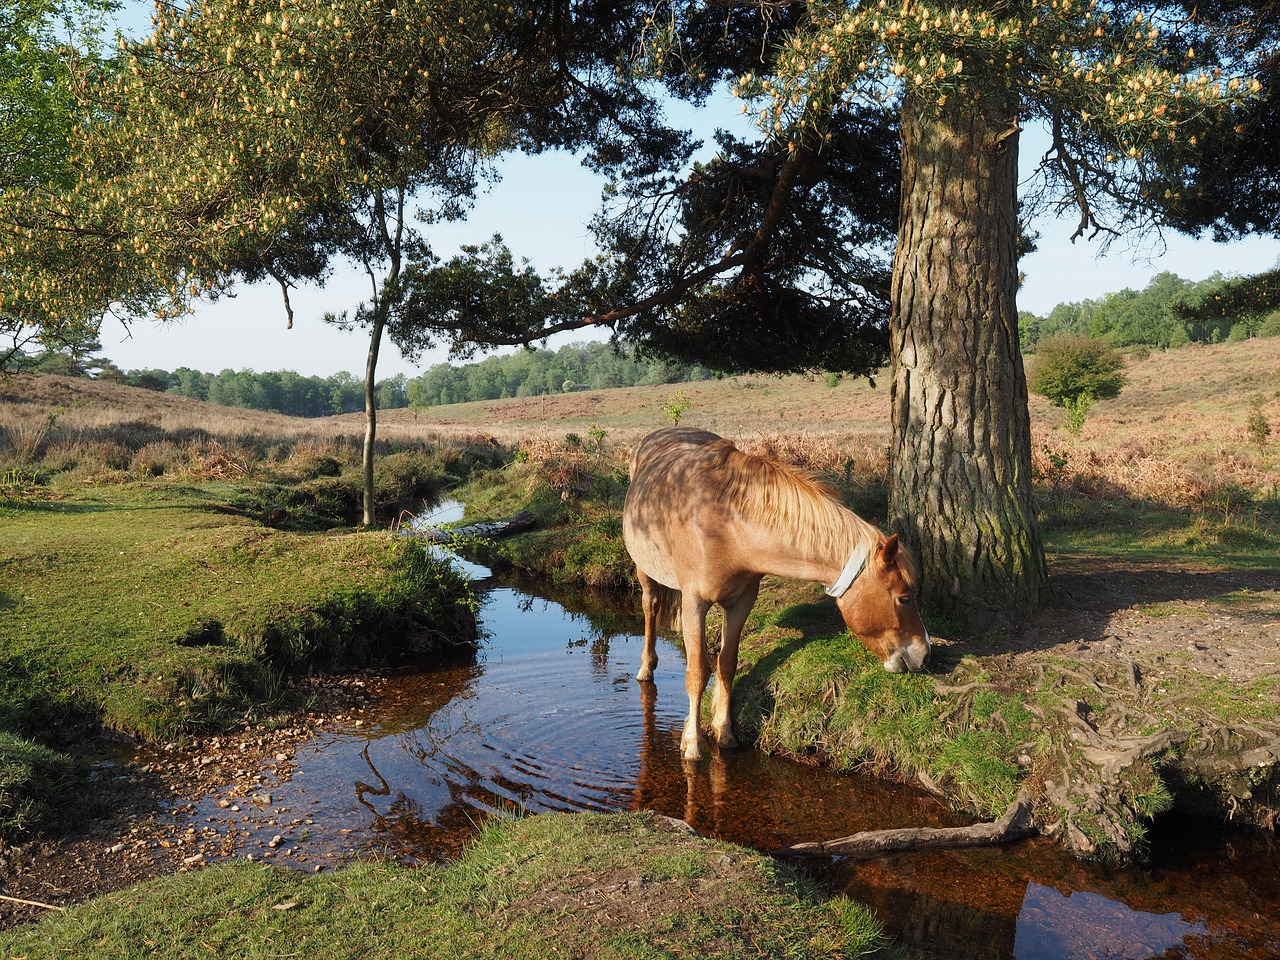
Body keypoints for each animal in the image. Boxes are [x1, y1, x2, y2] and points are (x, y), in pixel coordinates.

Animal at [622, 427, 930, 761]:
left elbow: (726, 664)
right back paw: (646, 667)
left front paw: (724, 732)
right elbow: (697, 673)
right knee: (650, 607)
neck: (726, 524)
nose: (925, 653)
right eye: (904, 597)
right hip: (645, 571)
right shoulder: (694, 604)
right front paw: (692, 745)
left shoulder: (742, 601)